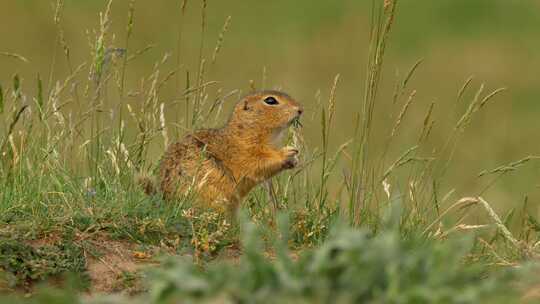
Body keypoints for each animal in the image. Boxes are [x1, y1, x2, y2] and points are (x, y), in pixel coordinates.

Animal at [159, 91, 304, 211]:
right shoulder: (245, 152)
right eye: (270, 100)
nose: (300, 109)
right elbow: (260, 162)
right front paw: (288, 152)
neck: (245, 131)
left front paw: (294, 161)